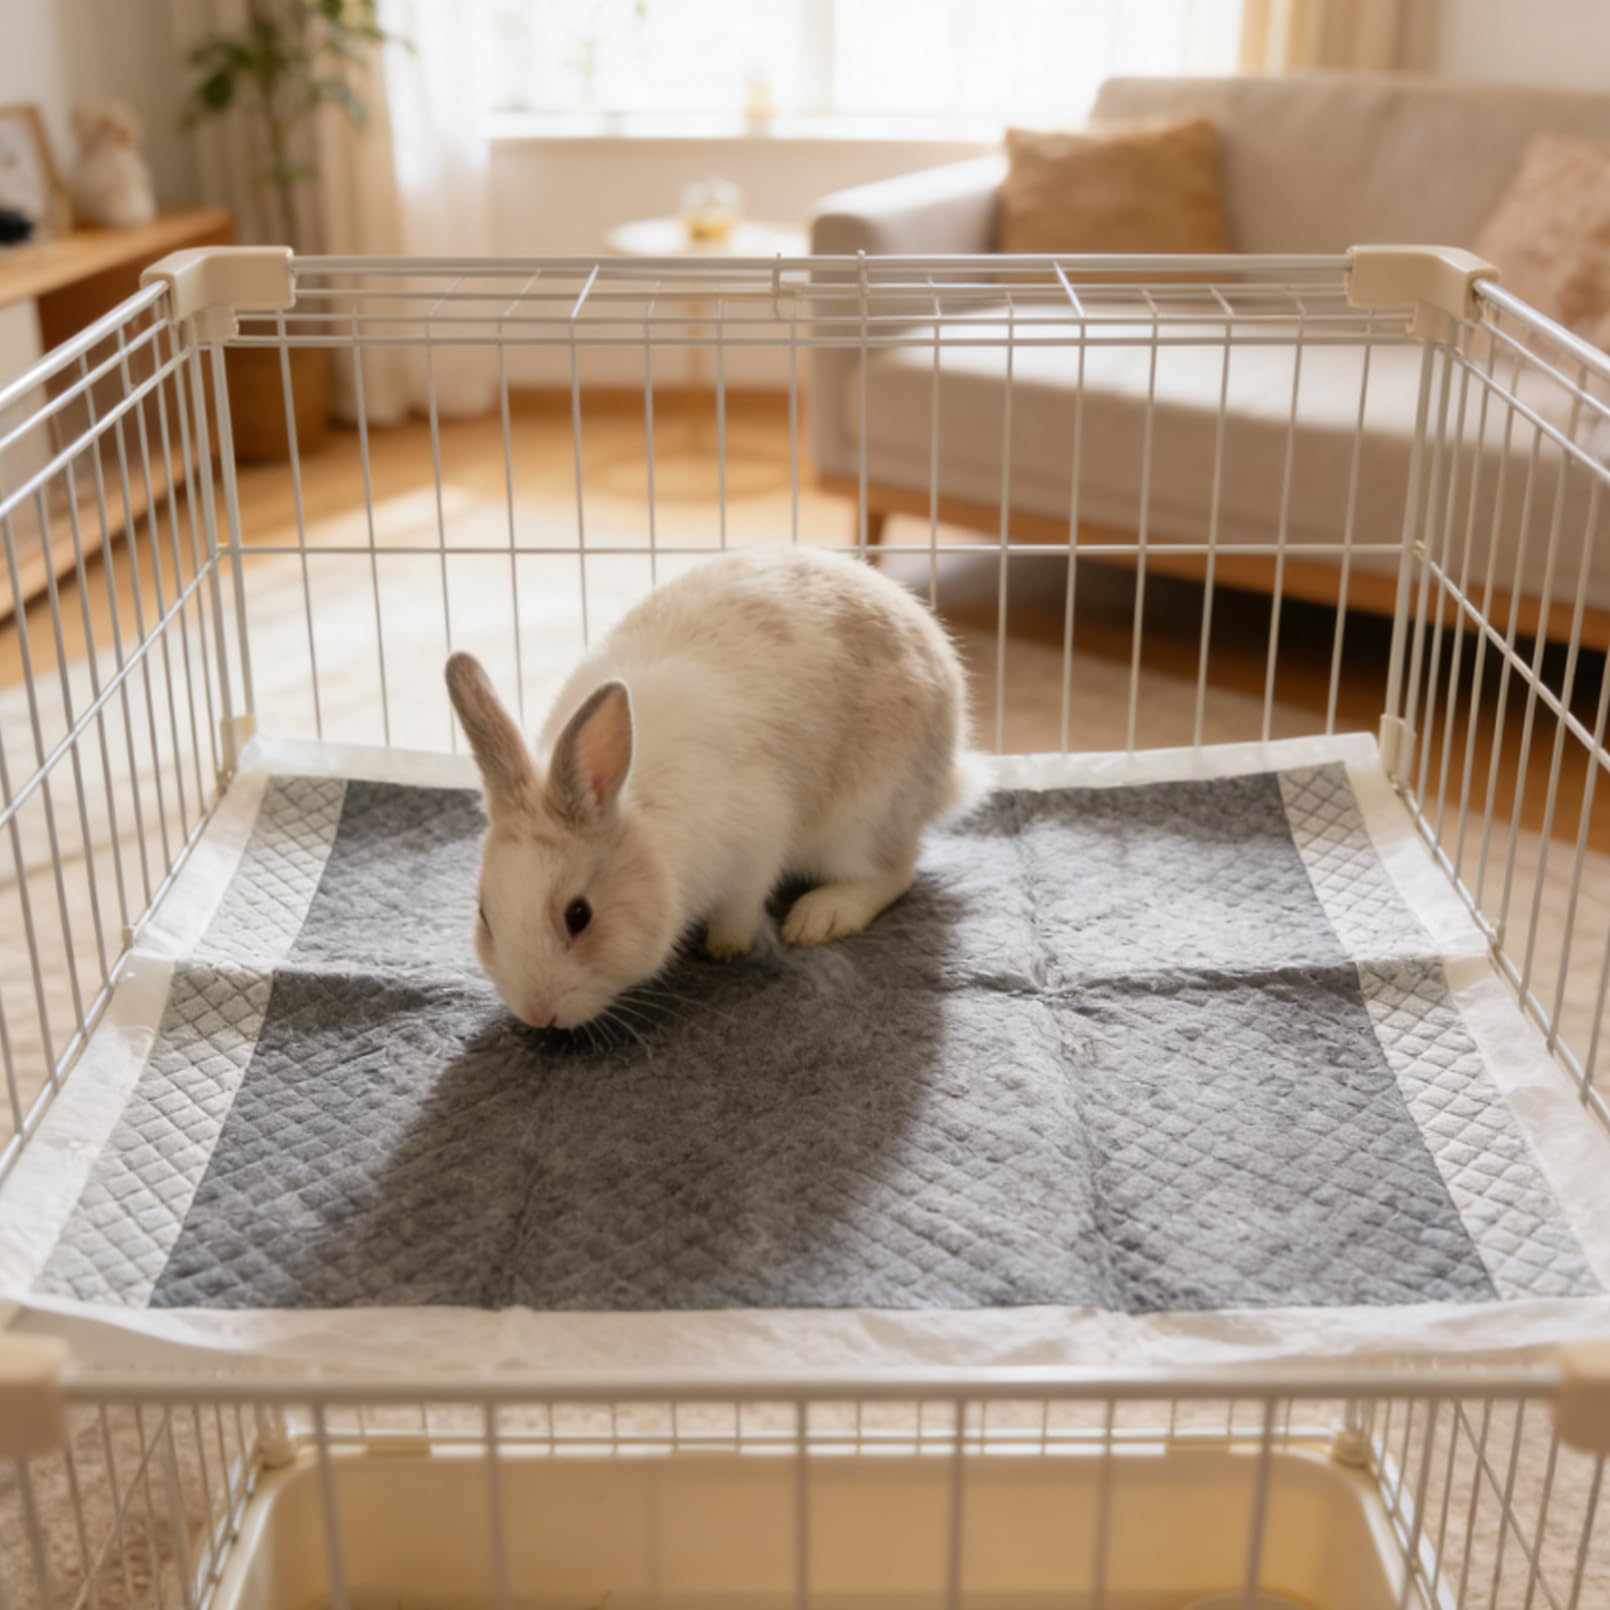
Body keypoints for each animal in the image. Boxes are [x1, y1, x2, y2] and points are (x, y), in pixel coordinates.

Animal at [445, 547, 979, 1031]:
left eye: (579, 915)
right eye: (485, 915)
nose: (539, 1016)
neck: (642, 826)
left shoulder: (757, 843)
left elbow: (742, 905)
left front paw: (725, 946)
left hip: (860, 821)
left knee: (894, 872)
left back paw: (821, 916)